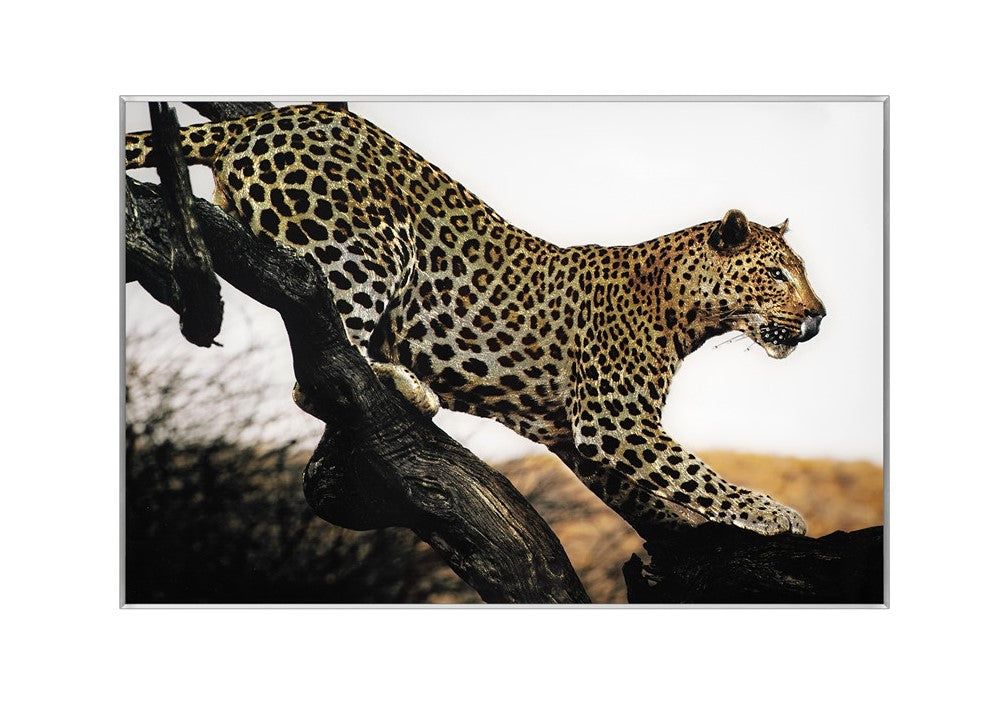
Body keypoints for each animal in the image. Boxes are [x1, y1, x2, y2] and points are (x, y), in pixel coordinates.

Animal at [125, 102, 826, 537]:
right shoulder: (612, 419)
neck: (688, 311)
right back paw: (406, 385)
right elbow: (696, 473)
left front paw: (686, 529)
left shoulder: (575, 432)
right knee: (320, 366)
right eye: (778, 274)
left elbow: (656, 489)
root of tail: (271, 118)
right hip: (371, 245)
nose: (820, 317)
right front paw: (775, 515)